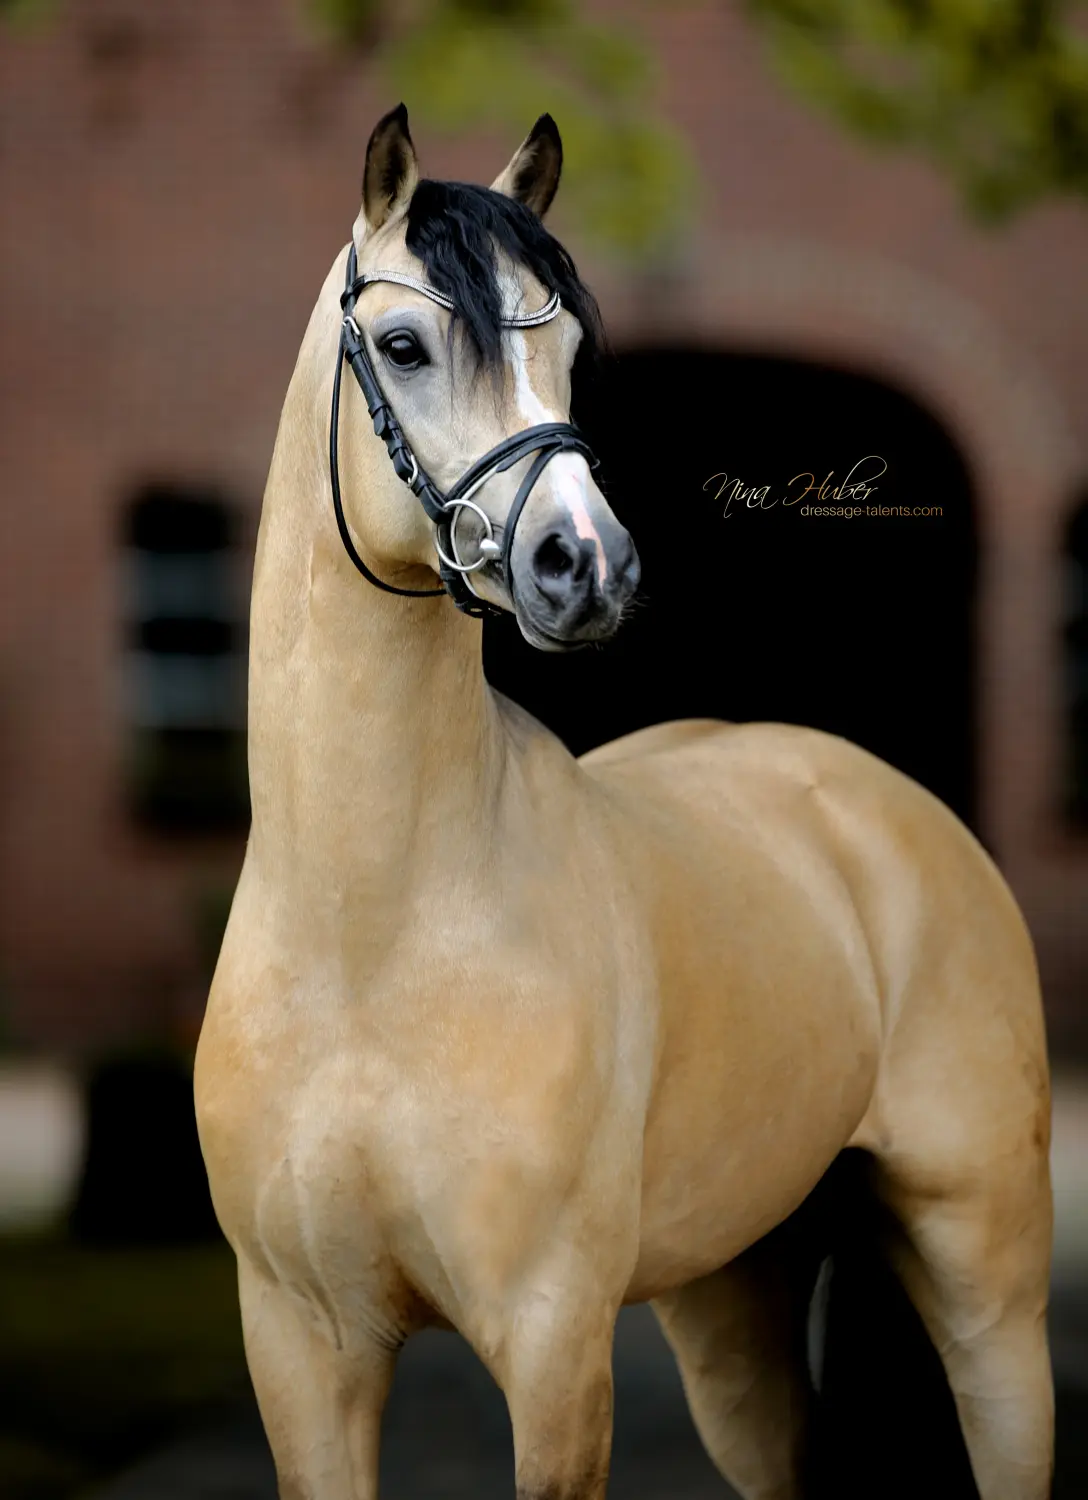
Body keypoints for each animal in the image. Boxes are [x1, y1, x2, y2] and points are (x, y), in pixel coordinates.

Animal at [194, 105, 1054, 1500]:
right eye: (402, 345)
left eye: (572, 354)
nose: (584, 564)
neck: (368, 932)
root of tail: (887, 810)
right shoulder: (300, 1344)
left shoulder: (551, 1343)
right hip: (736, 1295)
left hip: (986, 1284)